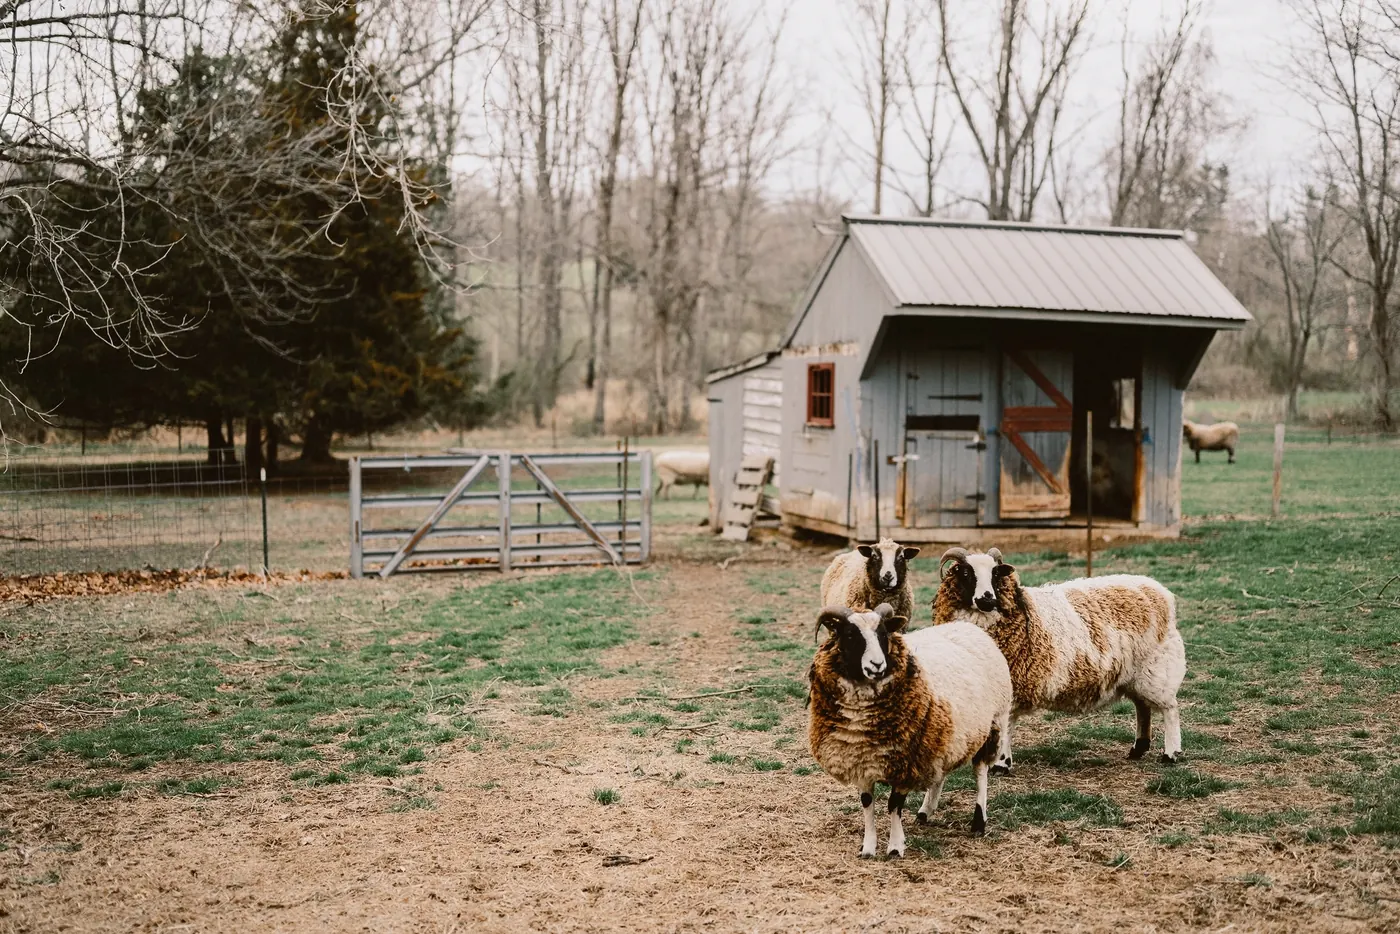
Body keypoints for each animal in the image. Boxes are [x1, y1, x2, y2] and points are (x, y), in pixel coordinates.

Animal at [808, 602, 1012, 857]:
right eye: (850, 634)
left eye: (883, 634)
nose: (877, 665)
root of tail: (968, 627)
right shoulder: (861, 761)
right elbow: (867, 802)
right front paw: (868, 847)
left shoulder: (906, 762)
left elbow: (893, 805)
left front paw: (895, 847)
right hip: (942, 736)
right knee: (940, 774)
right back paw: (926, 811)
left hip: (992, 725)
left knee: (981, 773)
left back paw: (978, 822)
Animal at [932, 547, 1186, 773]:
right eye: (966, 573)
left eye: (995, 574)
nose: (987, 598)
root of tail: (1159, 590)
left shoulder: (1014, 684)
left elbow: (1006, 725)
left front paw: (1001, 764)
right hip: (1134, 674)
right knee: (1143, 707)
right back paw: (1138, 749)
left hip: (1157, 667)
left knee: (1170, 709)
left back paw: (1171, 754)